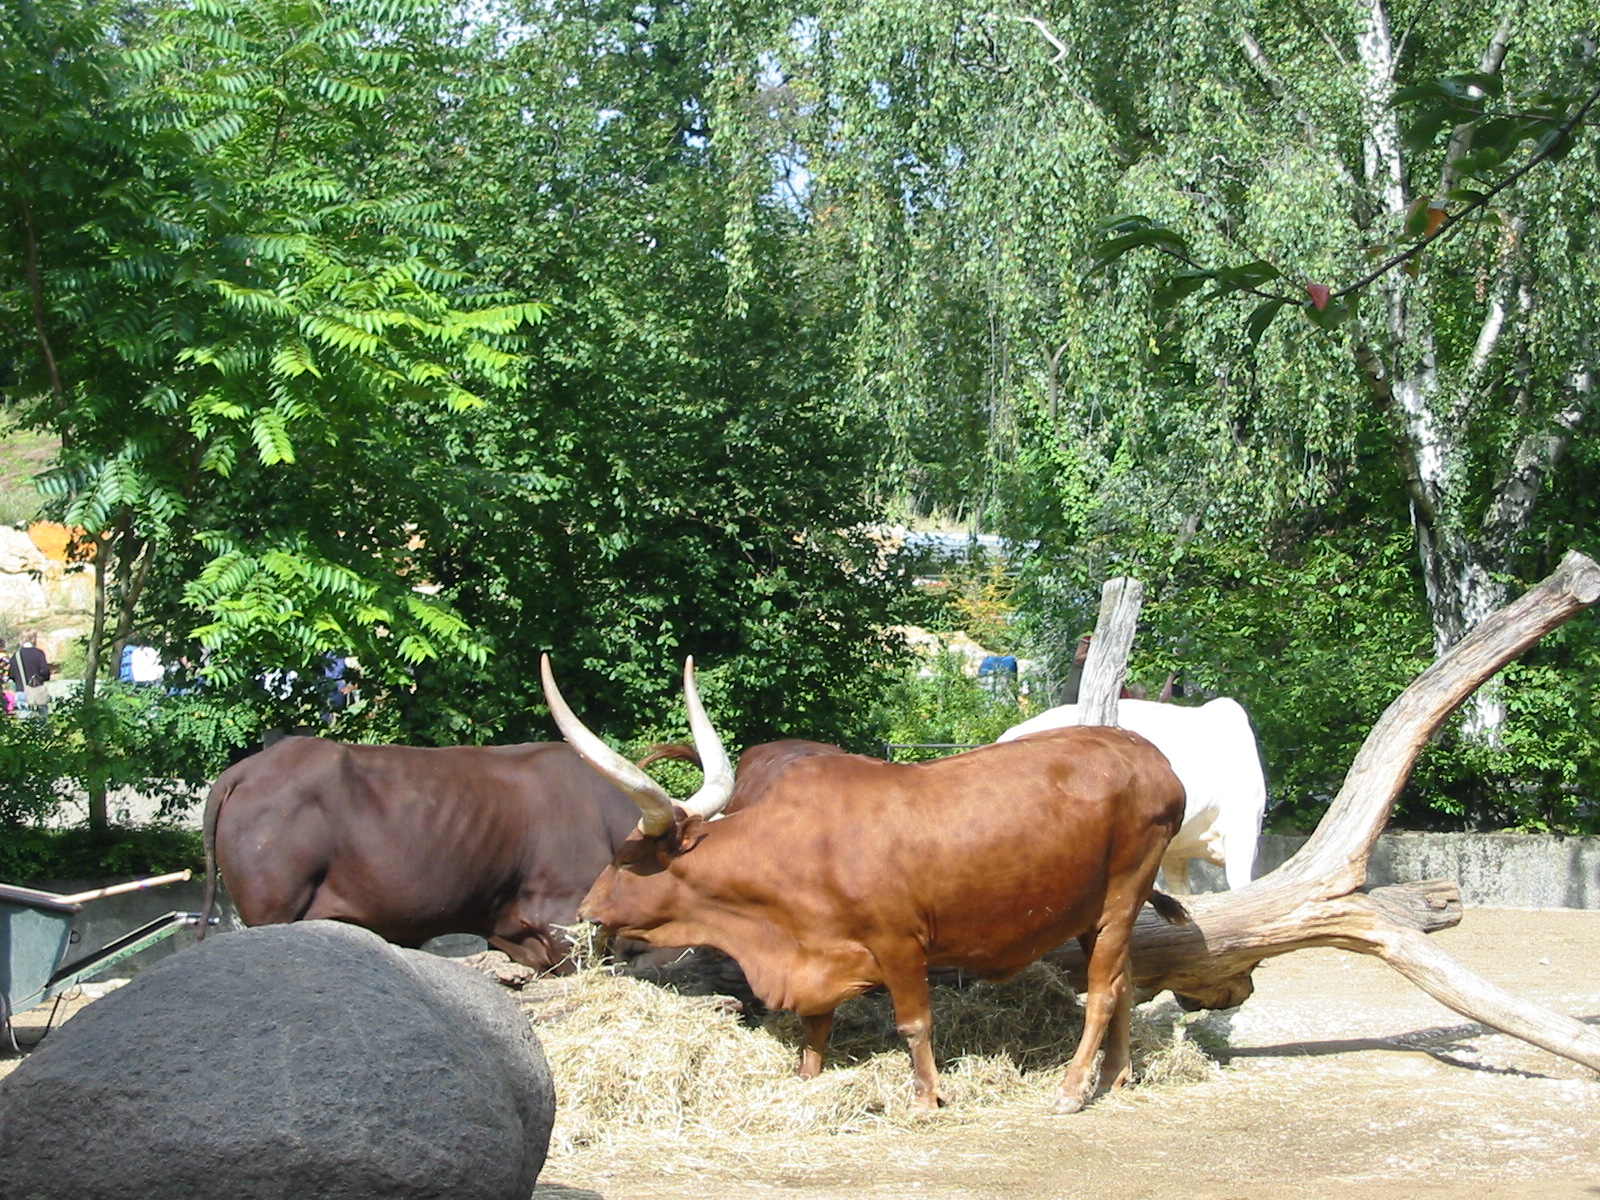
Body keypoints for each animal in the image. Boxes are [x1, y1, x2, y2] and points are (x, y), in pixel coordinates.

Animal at [542, 655, 1189, 1114]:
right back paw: (1116, 1076)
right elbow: (816, 1023)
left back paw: (1072, 1089)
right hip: (1094, 913)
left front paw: (926, 1098)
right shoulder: (816, 952)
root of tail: (1155, 760)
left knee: (1102, 991)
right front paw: (807, 1077)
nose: (585, 907)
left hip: (1122, 898)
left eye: (626, 857)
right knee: (1125, 983)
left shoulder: (899, 943)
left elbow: (914, 1023)